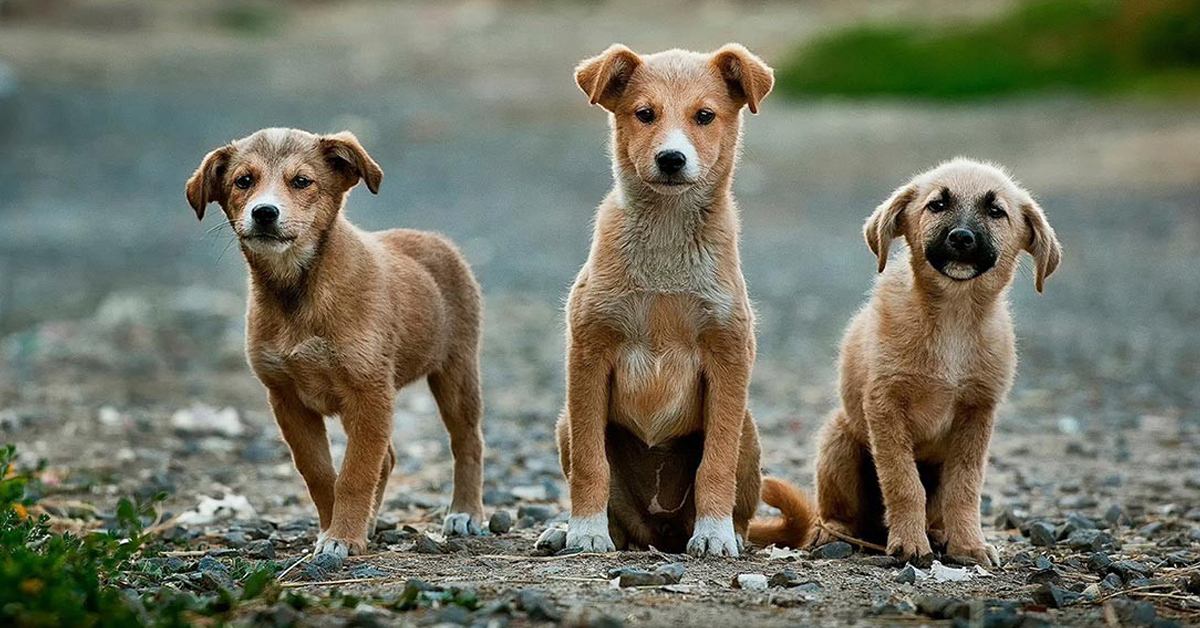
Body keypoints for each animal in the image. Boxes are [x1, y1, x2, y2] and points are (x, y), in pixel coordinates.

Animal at [184, 129, 484, 559]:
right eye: (244, 181)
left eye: (301, 181)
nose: (264, 213)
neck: (298, 291)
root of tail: (435, 239)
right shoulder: (287, 398)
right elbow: (321, 473)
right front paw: (334, 530)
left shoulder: (369, 392)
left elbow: (355, 473)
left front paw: (343, 536)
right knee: (388, 458)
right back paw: (371, 522)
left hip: (456, 372)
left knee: (467, 442)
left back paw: (465, 512)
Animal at [753, 158, 1065, 569]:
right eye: (937, 205)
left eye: (996, 211)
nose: (962, 237)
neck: (953, 317)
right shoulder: (885, 406)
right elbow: (903, 482)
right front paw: (909, 544)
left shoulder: (977, 413)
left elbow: (965, 488)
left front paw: (969, 544)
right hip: (839, 439)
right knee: (837, 512)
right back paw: (835, 532)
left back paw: (939, 533)